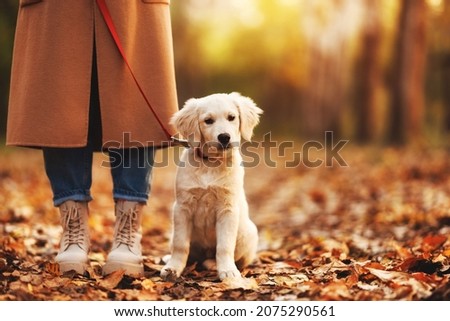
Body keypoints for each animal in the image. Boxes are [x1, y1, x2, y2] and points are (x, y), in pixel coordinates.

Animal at [160, 91, 262, 278]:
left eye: (231, 117)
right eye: (208, 121)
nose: (224, 137)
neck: (211, 164)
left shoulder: (227, 209)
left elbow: (224, 246)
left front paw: (228, 271)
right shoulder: (182, 207)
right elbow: (180, 244)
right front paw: (174, 267)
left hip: (249, 232)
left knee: (238, 258)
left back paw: (213, 264)